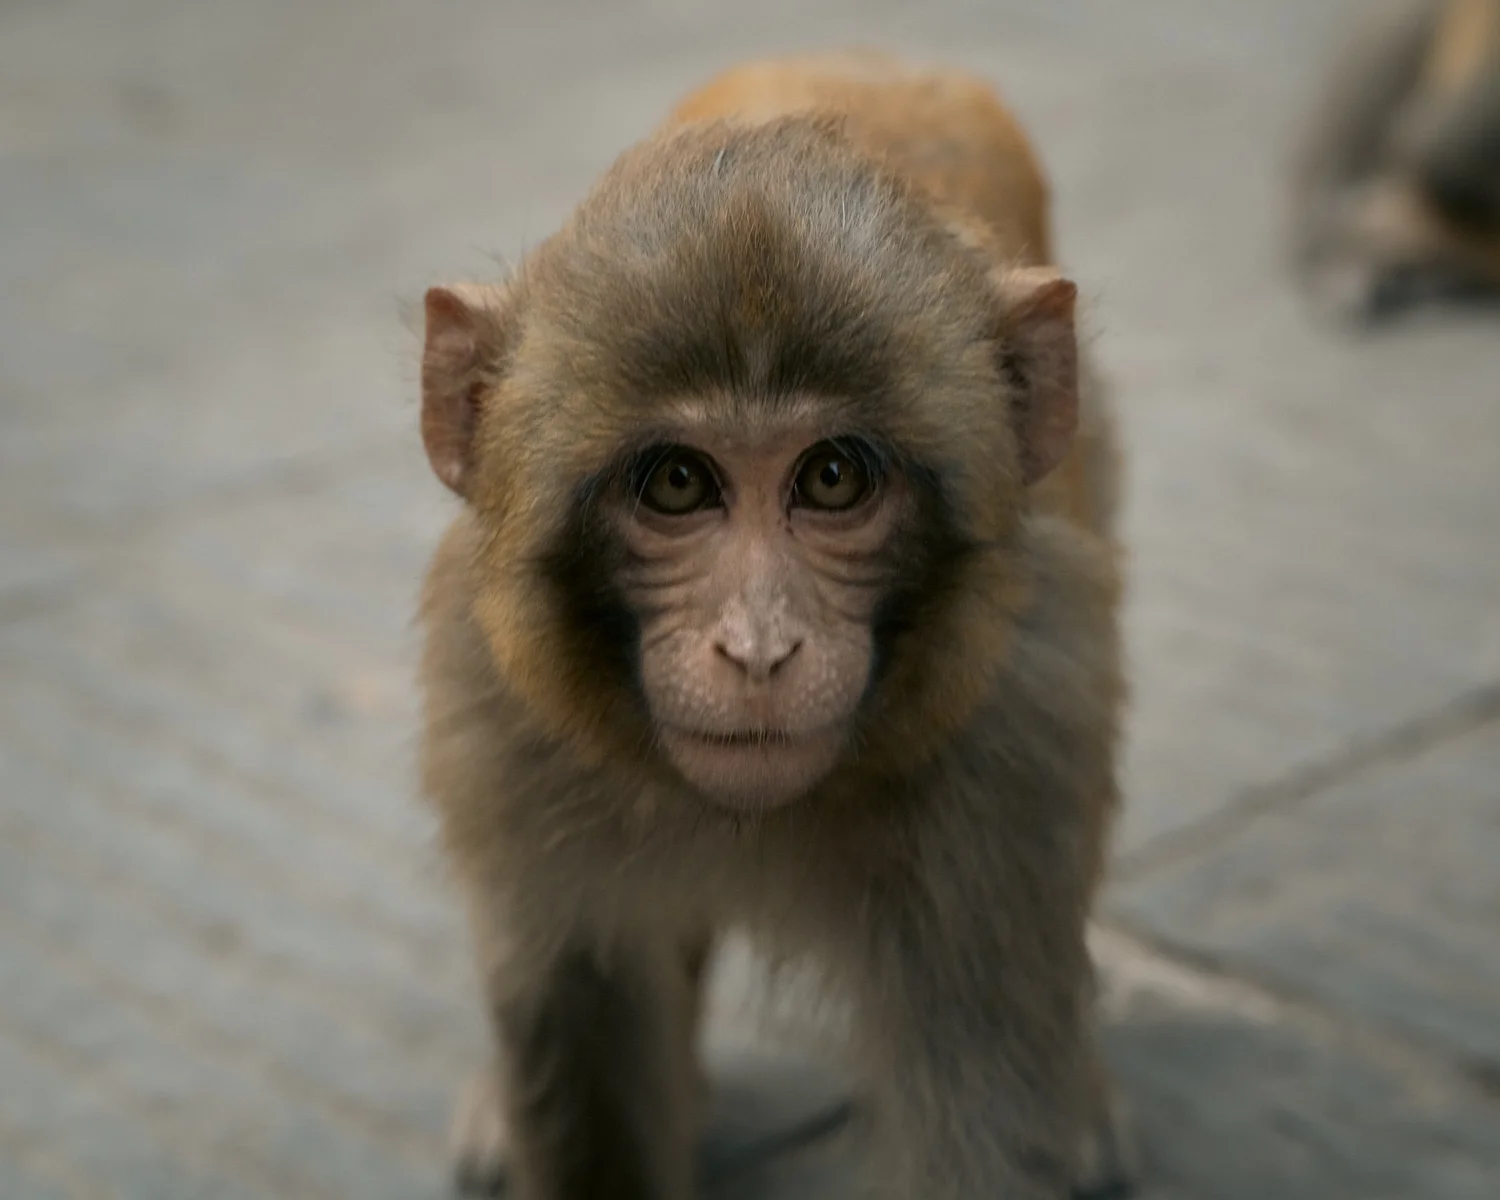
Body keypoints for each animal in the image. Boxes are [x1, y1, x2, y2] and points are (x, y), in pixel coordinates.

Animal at [415, 48, 1130, 1200]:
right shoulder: (506, 722)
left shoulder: (1012, 745)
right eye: (676, 483)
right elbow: (586, 1034)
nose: (758, 648)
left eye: (833, 477)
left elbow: (978, 1090)